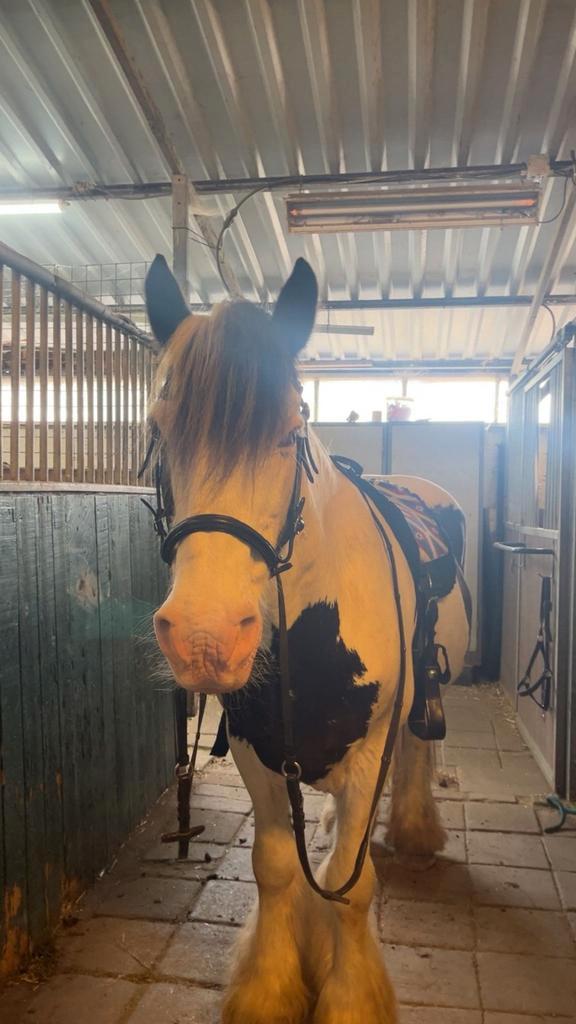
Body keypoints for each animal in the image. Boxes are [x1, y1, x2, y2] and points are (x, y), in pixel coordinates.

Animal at [144, 255, 470, 1024]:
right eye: (160, 427)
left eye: (290, 429)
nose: (204, 638)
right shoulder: (258, 750)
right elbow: (275, 870)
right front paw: (268, 990)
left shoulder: (369, 753)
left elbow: (350, 885)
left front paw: (348, 998)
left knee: (418, 752)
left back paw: (415, 830)